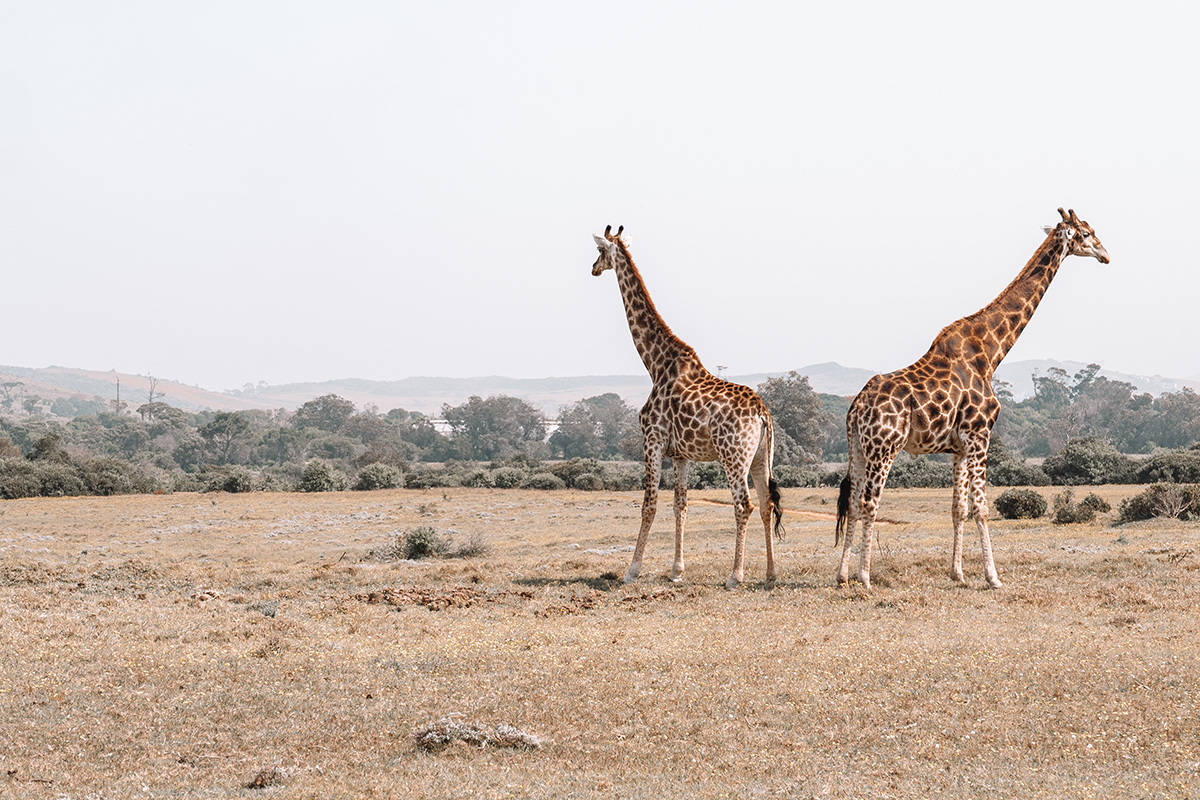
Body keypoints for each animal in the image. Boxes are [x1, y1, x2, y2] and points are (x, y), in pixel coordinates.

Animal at [591, 225, 784, 590]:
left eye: (599, 251)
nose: (593, 269)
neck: (655, 363)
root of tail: (762, 414)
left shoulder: (652, 440)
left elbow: (649, 504)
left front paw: (632, 570)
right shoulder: (680, 453)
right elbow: (680, 504)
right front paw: (676, 571)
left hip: (732, 455)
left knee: (744, 505)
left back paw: (735, 576)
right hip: (760, 457)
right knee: (767, 503)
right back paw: (770, 573)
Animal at [836, 208, 1110, 589]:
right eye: (1086, 233)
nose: (1106, 254)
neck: (991, 353)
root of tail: (856, 407)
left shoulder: (959, 447)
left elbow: (959, 508)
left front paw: (958, 574)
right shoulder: (980, 435)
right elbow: (981, 507)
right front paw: (993, 577)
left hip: (858, 449)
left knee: (850, 501)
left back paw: (842, 575)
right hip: (884, 447)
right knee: (869, 502)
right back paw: (864, 577)